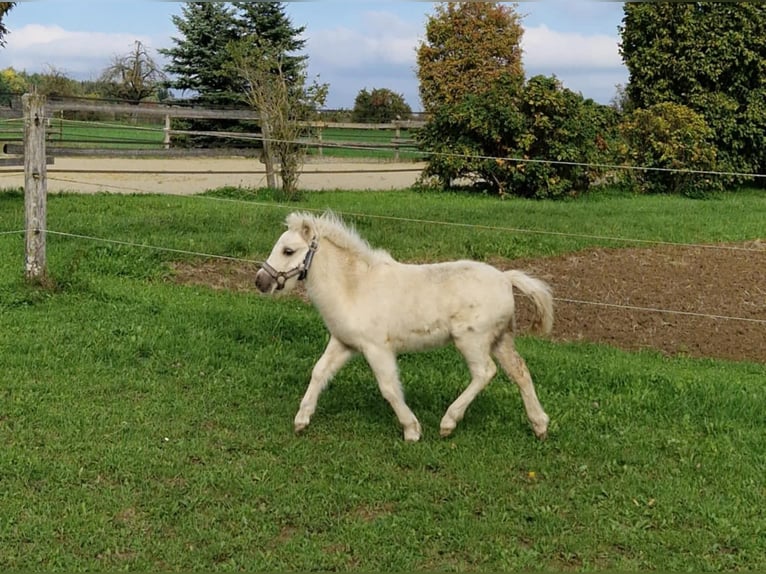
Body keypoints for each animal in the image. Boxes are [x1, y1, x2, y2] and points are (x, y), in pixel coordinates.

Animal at [255, 211, 554, 442]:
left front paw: (412, 430)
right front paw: (301, 420)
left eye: (288, 251)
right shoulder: (343, 343)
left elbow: (388, 387)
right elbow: (319, 372)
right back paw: (539, 426)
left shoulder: (376, 348)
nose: (260, 282)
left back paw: (448, 423)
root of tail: (505, 278)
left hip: (472, 340)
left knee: (485, 372)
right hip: (500, 339)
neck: (355, 288)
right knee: (520, 372)